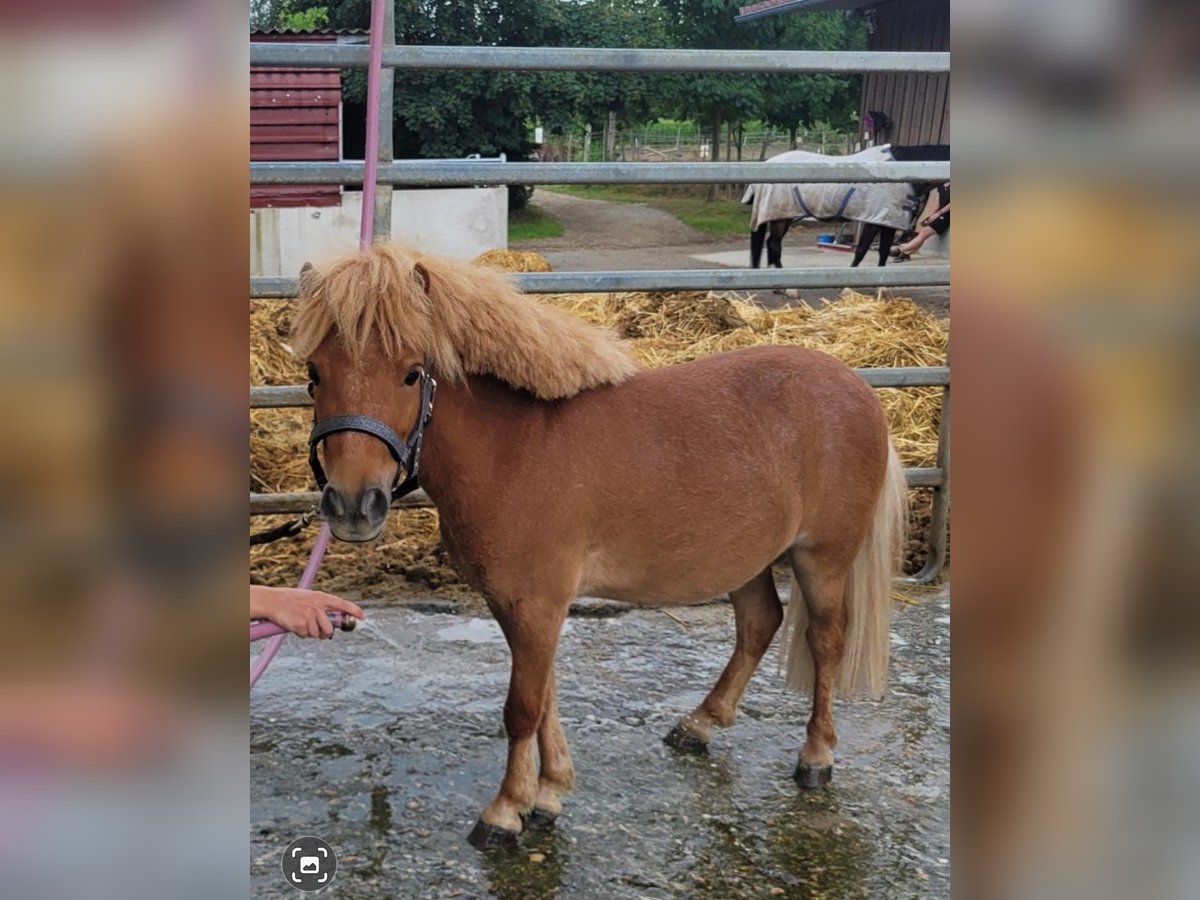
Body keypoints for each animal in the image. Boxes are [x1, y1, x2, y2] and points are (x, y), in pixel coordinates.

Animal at [295, 244, 902, 844]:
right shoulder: (519, 604)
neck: (514, 446)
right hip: (746, 558)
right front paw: (547, 793)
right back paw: (699, 725)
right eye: (314, 373)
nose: (353, 505)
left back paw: (816, 756)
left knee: (826, 641)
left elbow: (523, 706)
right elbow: (544, 695)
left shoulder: (537, 603)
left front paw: (505, 811)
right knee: (759, 623)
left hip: (822, 558)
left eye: (411, 373)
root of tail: (859, 388)